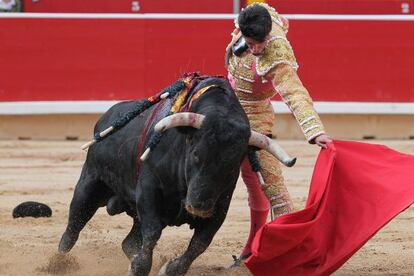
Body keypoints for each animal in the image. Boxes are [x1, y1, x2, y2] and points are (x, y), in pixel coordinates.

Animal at [57, 77, 294, 276]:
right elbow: (152, 233)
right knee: (73, 227)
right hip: (90, 184)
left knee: (128, 242)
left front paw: (168, 269)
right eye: (196, 153)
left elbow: (199, 243)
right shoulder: (149, 191)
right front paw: (138, 268)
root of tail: (106, 116)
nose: (198, 206)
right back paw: (58, 263)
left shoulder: (219, 207)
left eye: (233, 164)